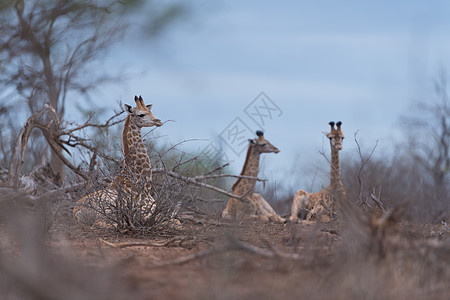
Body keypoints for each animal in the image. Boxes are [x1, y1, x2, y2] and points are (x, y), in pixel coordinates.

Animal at [74, 96, 163, 227]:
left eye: (150, 111)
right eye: (141, 114)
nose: (159, 121)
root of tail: (76, 212)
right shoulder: (144, 213)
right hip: (109, 211)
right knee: (101, 224)